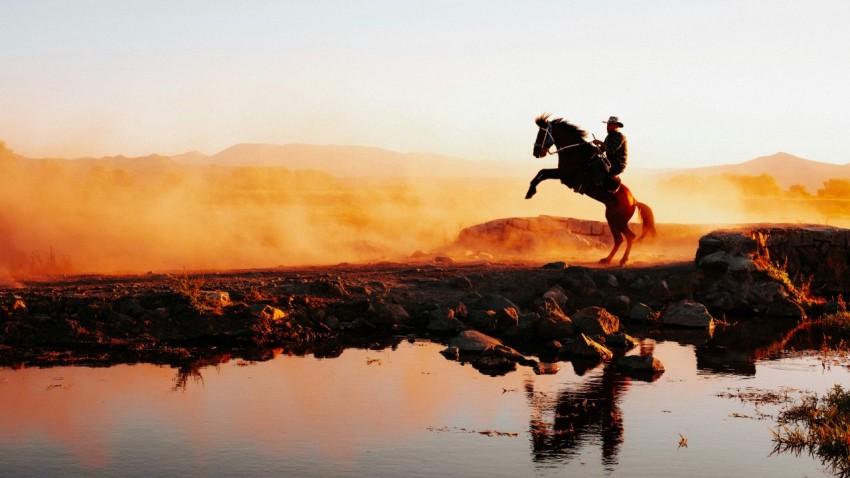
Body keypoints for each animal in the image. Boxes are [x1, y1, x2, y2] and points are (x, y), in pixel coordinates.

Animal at [524, 114, 656, 268]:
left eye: (541, 134)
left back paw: (623, 260)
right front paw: (530, 192)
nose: (536, 152)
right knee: (619, 239)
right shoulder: (562, 174)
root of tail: (634, 201)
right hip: (611, 218)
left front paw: (530, 191)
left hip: (620, 220)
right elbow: (542, 172)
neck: (576, 153)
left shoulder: (565, 175)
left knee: (630, 236)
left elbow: (543, 173)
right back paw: (607, 259)